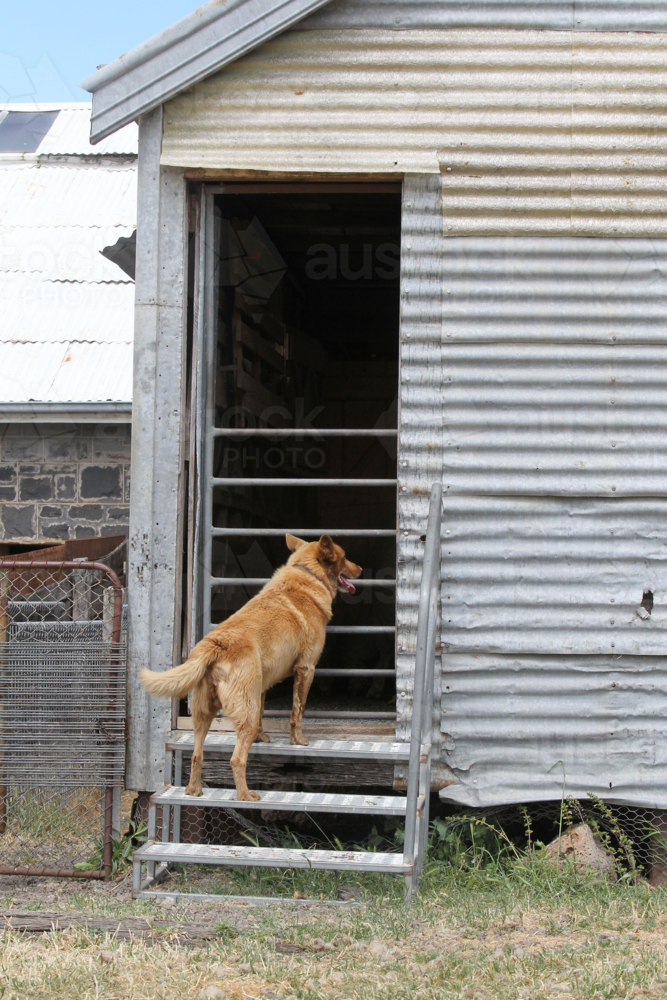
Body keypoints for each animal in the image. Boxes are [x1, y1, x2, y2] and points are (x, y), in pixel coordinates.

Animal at [138, 536, 362, 800]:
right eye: (345, 557)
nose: (361, 568)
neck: (308, 573)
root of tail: (216, 645)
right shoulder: (306, 668)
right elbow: (298, 711)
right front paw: (297, 740)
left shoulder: (263, 684)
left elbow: (266, 711)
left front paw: (262, 738)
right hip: (245, 712)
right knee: (236, 759)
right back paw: (245, 795)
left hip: (203, 714)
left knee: (196, 754)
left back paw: (194, 790)